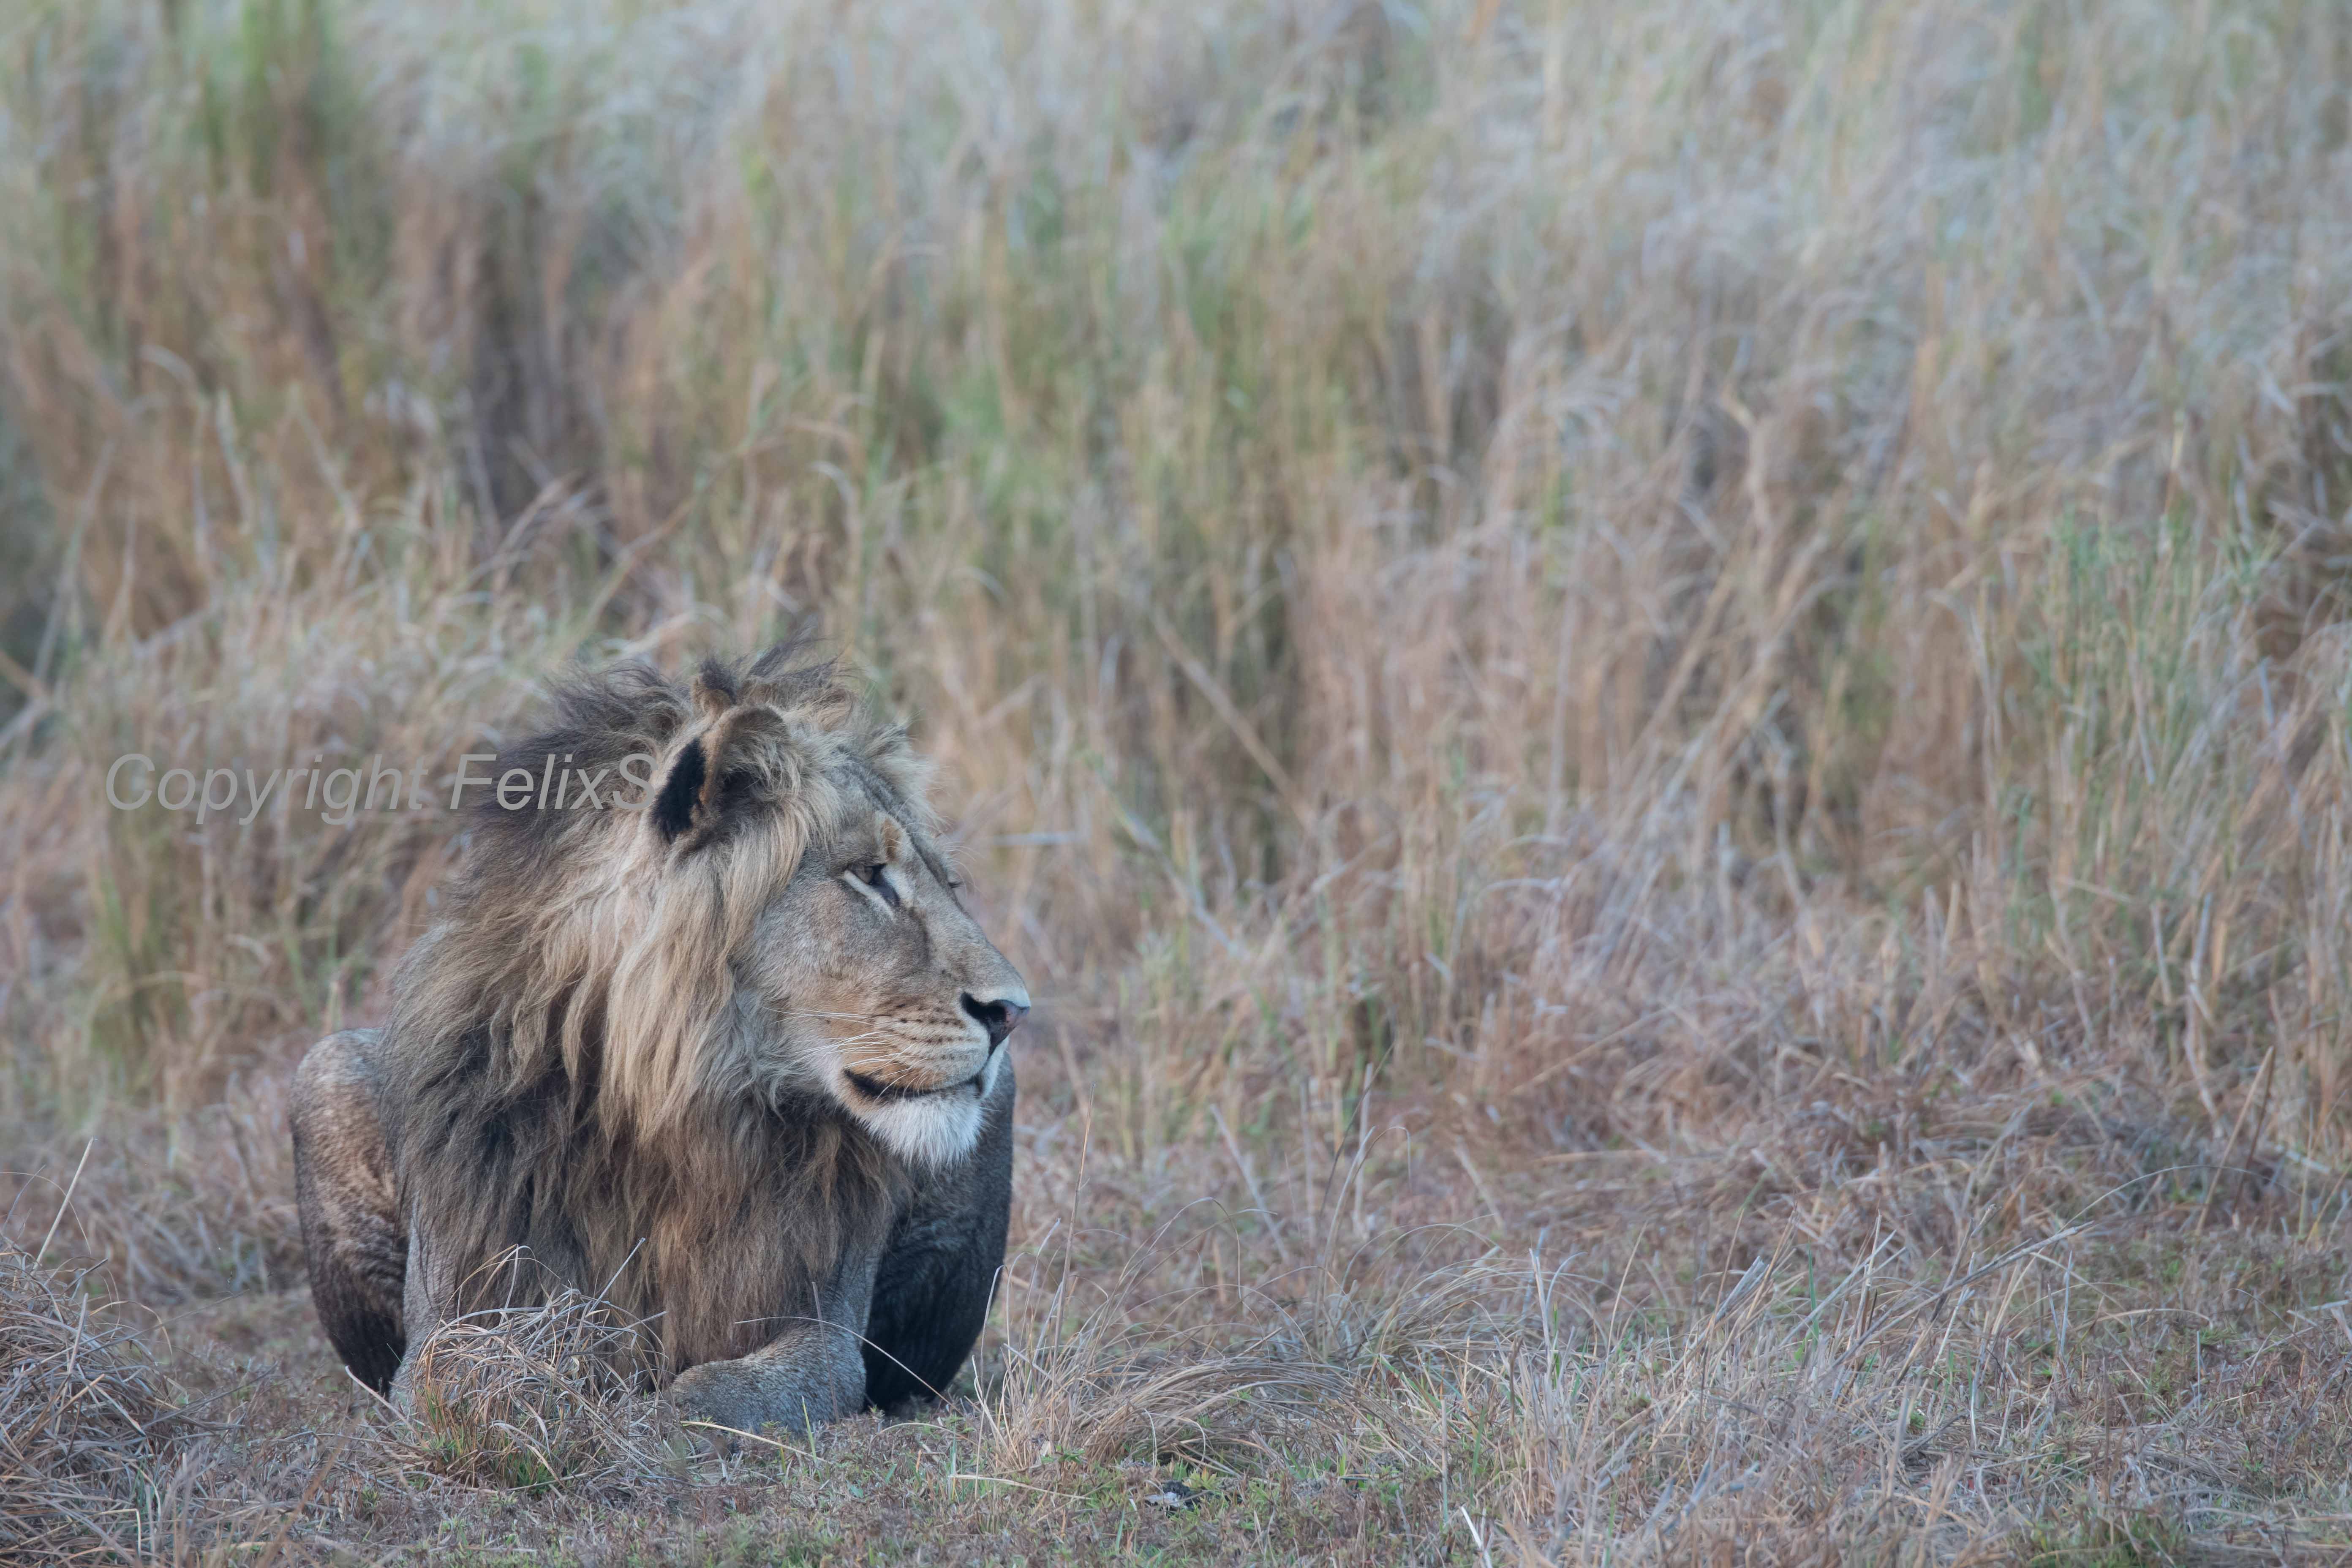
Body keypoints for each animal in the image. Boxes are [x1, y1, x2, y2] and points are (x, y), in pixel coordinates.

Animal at [289, 644, 1025, 1429]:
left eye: (947, 884)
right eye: (869, 876)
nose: (1013, 1010)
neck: (676, 1109)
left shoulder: (822, 1322)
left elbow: (758, 1383)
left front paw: (667, 1414)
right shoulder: (452, 1308)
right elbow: (464, 1378)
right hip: (323, 1068)